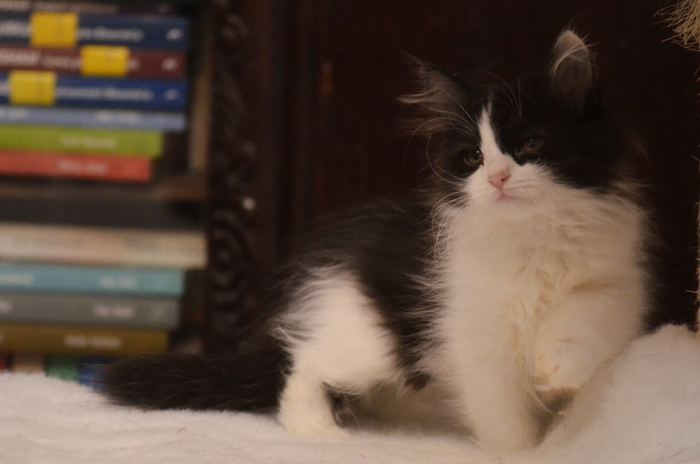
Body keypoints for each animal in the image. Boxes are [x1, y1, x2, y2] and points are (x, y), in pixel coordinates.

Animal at [101, 30, 655, 452]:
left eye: (531, 145)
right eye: (473, 157)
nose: (498, 178)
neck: (531, 234)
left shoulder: (612, 285)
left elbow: (582, 324)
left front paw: (557, 373)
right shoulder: (474, 340)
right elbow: (503, 416)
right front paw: (521, 452)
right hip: (367, 337)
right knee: (303, 365)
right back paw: (318, 430)